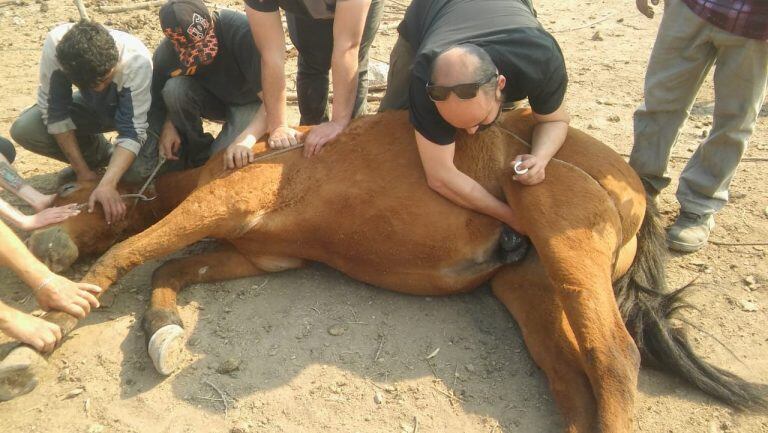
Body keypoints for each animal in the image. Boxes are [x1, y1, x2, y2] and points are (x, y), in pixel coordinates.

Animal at [3, 110, 764, 428]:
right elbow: (169, 273)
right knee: (573, 379)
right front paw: (162, 332)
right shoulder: (258, 253)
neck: (250, 151)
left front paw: (48, 323)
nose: (46, 245)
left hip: (555, 230)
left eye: (79, 195)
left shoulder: (224, 206)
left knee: (613, 359)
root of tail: (632, 180)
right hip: (533, 287)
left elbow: (131, 253)